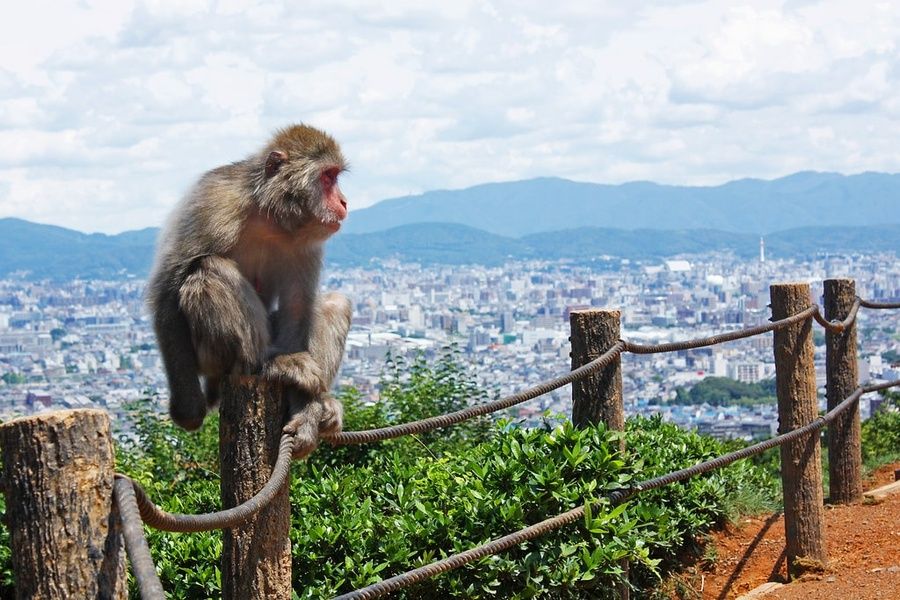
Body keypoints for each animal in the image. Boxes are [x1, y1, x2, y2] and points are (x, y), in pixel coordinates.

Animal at [147, 124, 352, 458]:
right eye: (327, 177)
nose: (344, 202)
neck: (268, 215)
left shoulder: (306, 243)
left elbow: (298, 308)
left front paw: (306, 414)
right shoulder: (212, 201)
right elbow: (167, 288)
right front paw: (188, 411)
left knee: (334, 303)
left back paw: (320, 403)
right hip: (209, 357)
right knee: (207, 270)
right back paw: (264, 364)